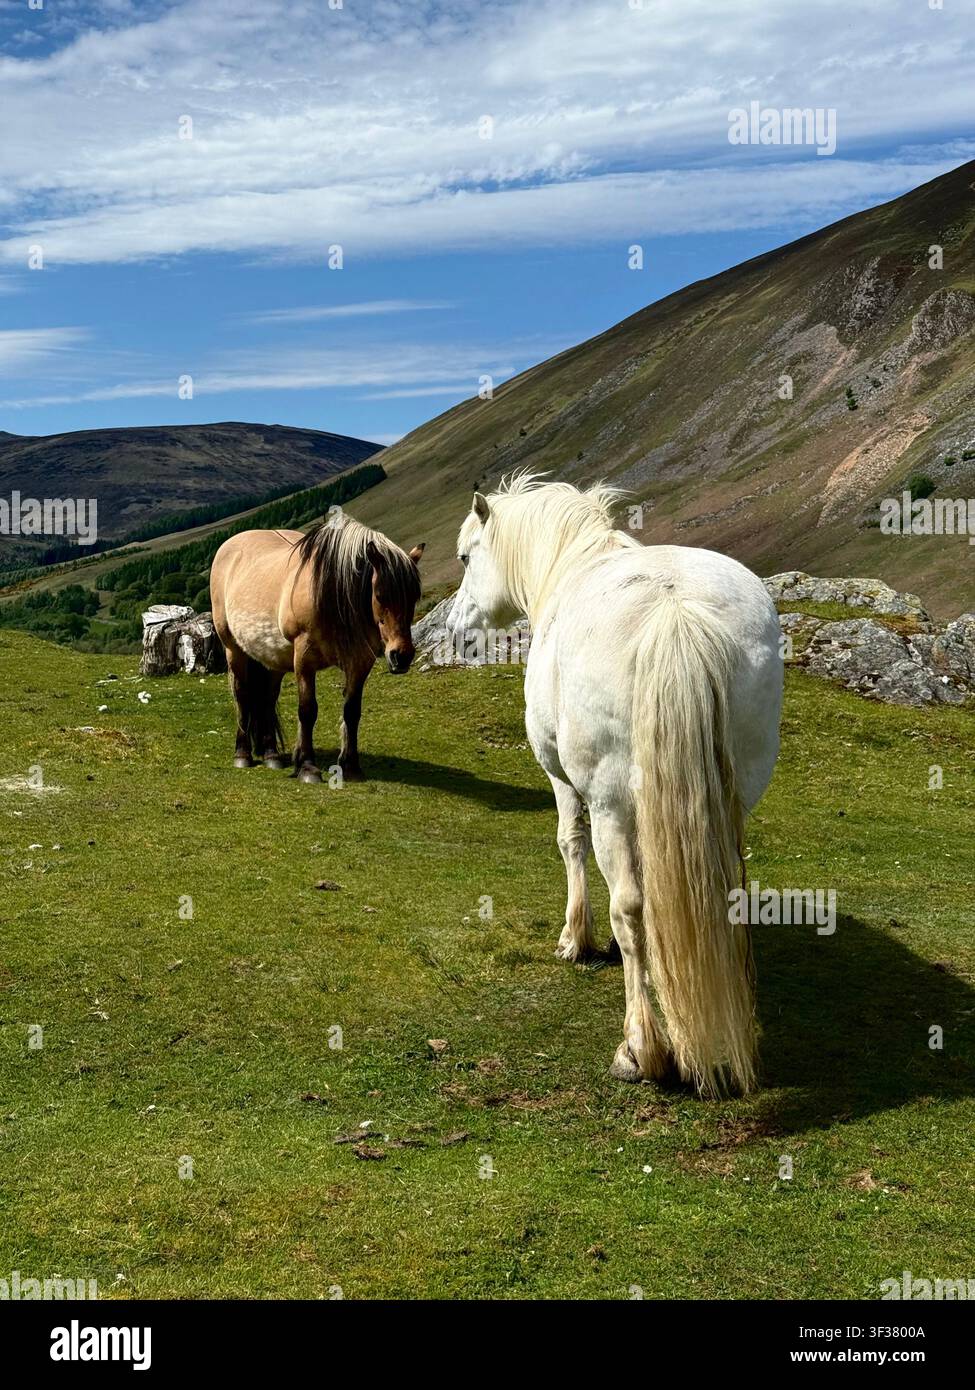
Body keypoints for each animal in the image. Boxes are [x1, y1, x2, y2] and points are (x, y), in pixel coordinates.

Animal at [210, 515, 423, 783]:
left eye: (414, 596)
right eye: (380, 594)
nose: (401, 656)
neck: (331, 593)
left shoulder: (360, 662)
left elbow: (352, 711)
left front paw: (350, 767)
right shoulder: (304, 658)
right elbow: (307, 710)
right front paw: (308, 767)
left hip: (273, 658)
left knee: (268, 698)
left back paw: (271, 755)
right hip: (234, 649)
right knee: (242, 696)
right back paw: (242, 754)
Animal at [447, 475, 783, 1097]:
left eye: (464, 557)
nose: (456, 630)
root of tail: (675, 612)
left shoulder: (559, 776)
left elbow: (569, 844)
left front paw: (573, 939)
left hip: (611, 806)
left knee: (627, 909)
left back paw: (640, 1048)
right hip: (732, 798)